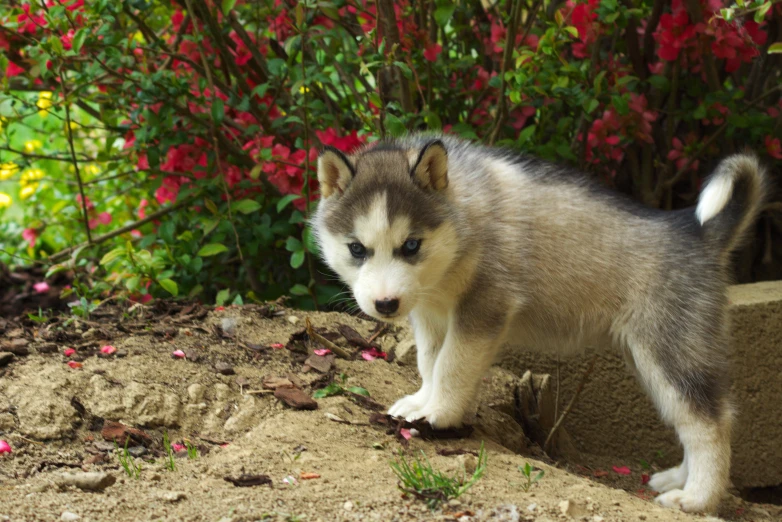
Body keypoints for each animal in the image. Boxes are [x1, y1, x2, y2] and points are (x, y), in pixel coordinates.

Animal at [310, 133, 764, 512]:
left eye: (410, 246)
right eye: (356, 248)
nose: (386, 305)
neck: (463, 214)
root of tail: (698, 232)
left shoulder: (485, 307)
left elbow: (452, 365)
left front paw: (440, 412)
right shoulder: (430, 313)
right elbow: (429, 362)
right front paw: (422, 401)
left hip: (670, 350)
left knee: (711, 421)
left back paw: (697, 497)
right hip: (648, 361)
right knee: (687, 419)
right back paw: (678, 479)